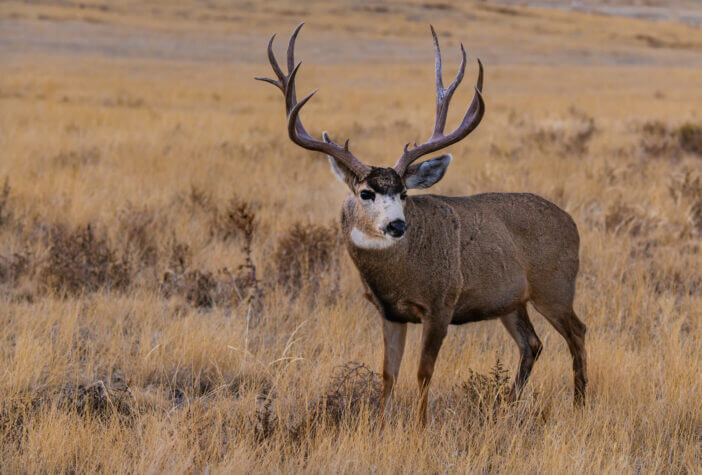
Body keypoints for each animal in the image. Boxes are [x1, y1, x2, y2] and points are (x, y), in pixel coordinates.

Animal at [258, 23, 588, 424]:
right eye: (366, 193)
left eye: (404, 193)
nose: (397, 226)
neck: (398, 276)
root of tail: (571, 222)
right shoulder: (389, 313)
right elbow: (388, 374)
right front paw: (381, 424)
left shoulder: (441, 303)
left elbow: (423, 372)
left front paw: (419, 426)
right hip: (511, 301)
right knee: (532, 344)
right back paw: (507, 408)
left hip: (554, 287)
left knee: (577, 333)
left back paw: (579, 404)